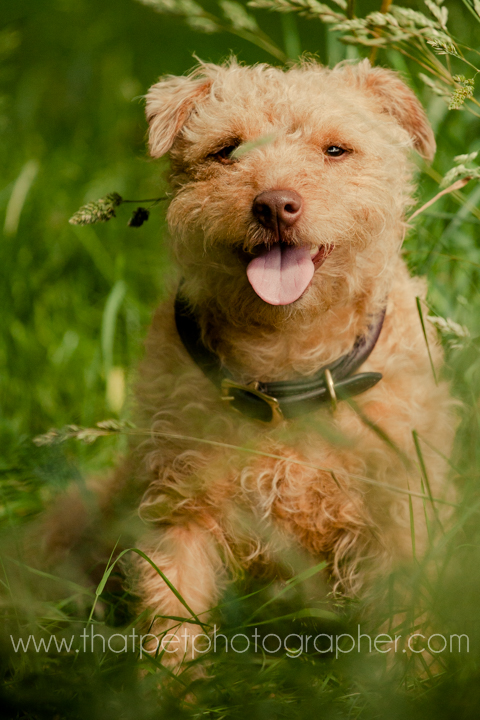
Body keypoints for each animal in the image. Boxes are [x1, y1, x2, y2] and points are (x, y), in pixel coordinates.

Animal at [46, 58, 455, 662]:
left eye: (335, 149)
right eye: (227, 149)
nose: (274, 204)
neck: (287, 363)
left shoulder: (401, 515)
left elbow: (410, 628)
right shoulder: (179, 512)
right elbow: (172, 624)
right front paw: (168, 683)